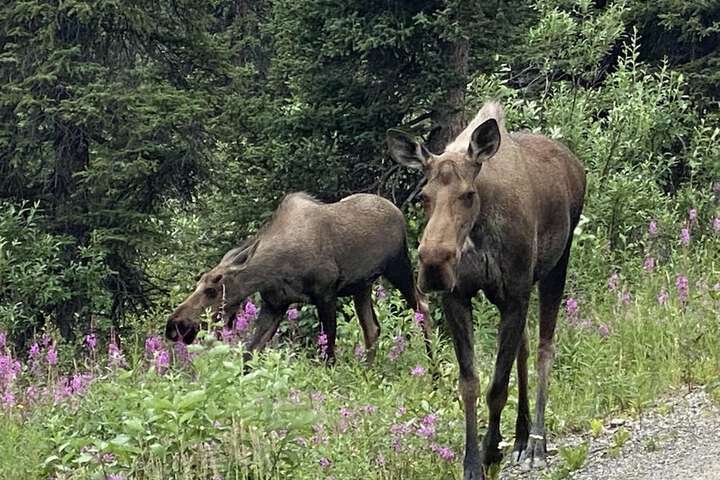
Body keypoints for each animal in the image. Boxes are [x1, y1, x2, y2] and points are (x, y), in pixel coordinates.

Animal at [165, 191, 430, 364]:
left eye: (212, 289)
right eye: (199, 283)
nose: (174, 326)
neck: (275, 269)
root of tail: (398, 212)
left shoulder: (325, 294)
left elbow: (328, 351)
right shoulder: (275, 305)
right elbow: (249, 355)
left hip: (398, 265)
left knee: (422, 306)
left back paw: (433, 371)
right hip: (362, 286)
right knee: (372, 329)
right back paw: (368, 372)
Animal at [388, 102, 584, 480]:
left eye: (467, 194)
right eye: (423, 197)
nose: (433, 263)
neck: (477, 233)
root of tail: (574, 163)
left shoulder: (517, 291)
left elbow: (497, 387)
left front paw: (491, 450)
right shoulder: (456, 296)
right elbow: (470, 384)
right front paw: (472, 461)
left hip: (556, 264)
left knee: (544, 347)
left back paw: (536, 442)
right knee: (524, 347)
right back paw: (521, 437)